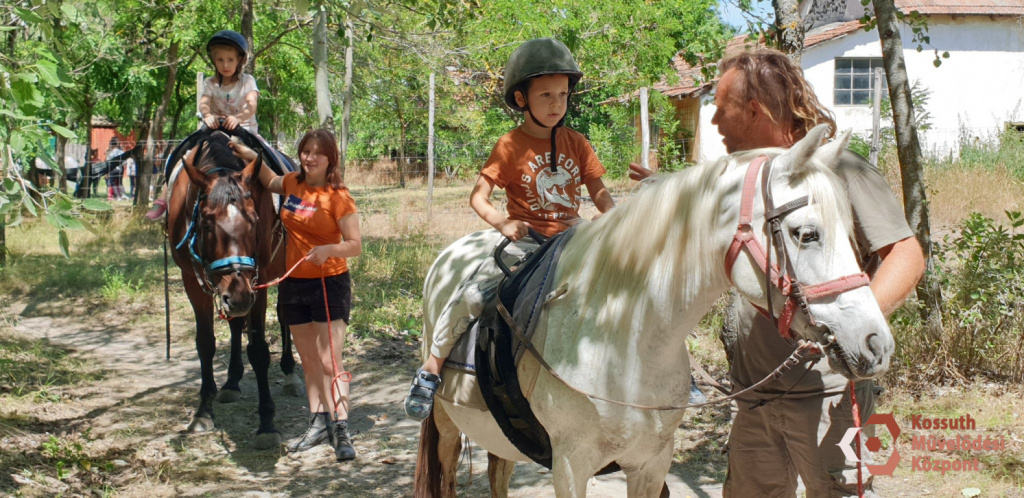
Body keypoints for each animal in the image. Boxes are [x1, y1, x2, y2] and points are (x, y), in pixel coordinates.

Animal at [167, 131, 288, 449]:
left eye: (256, 221)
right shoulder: (192, 281)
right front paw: (203, 411)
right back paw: (232, 381)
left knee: (286, 314)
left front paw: (266, 422)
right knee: (235, 325)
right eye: (207, 224)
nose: (240, 297)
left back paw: (290, 371)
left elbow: (258, 350)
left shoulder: (259, 280)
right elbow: (205, 343)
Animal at [413, 125, 894, 497]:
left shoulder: (651, 463)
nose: (877, 344)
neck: (622, 336)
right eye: (806, 234)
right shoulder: (570, 465)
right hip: (446, 423)